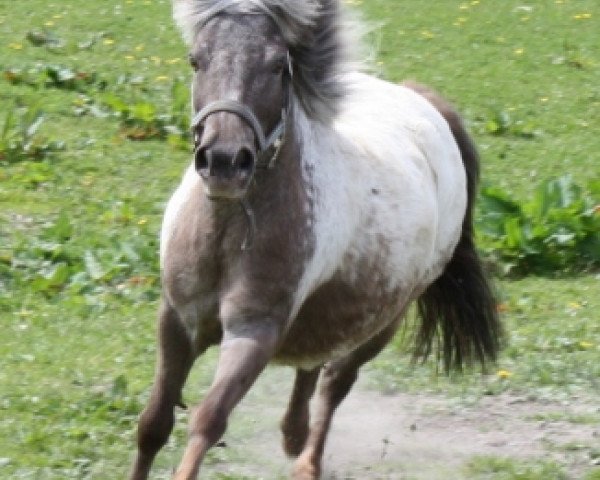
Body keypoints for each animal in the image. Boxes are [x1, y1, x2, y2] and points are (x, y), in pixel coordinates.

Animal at [130, 1, 502, 478]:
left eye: (277, 65)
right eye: (197, 60)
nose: (224, 161)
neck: (229, 232)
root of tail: (423, 102)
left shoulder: (253, 331)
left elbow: (208, 420)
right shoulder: (177, 320)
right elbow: (153, 424)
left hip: (383, 320)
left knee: (334, 381)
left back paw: (306, 460)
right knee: (313, 360)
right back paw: (293, 434)